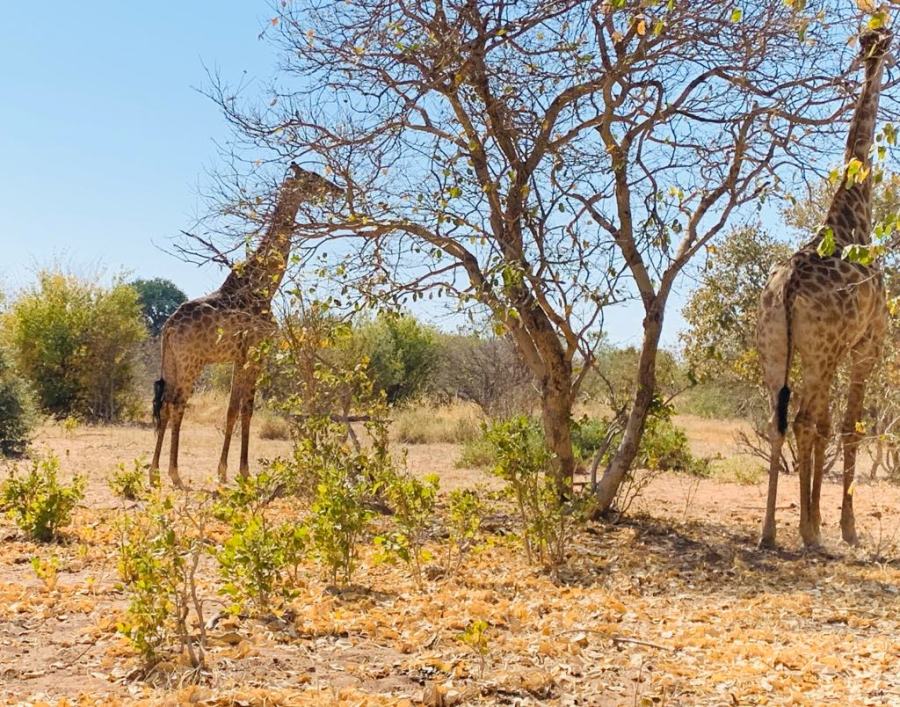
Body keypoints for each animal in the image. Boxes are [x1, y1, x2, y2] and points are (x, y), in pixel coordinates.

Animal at [149, 165, 342, 486]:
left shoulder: (240, 357)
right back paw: (174, 473)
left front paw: (222, 471)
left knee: (164, 405)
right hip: (192, 363)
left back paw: (153, 474)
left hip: (172, 362)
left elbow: (231, 410)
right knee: (178, 405)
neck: (264, 286)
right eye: (313, 177)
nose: (336, 190)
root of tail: (168, 328)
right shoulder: (256, 352)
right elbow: (248, 409)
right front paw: (244, 471)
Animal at [760, 26, 892, 548]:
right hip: (820, 351)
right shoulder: (866, 345)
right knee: (802, 420)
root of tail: (789, 285)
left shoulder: (835, 351)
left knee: (778, 421)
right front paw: (845, 527)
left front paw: (818, 519)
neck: (855, 210)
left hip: (776, 346)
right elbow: (847, 427)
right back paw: (806, 532)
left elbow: (826, 425)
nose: (876, 47)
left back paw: (770, 532)